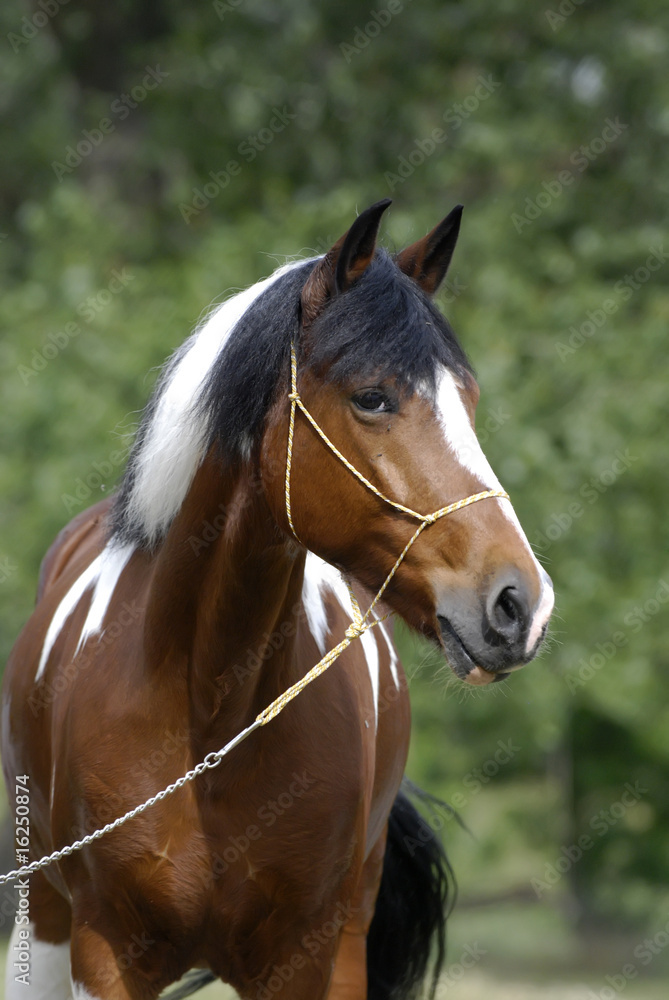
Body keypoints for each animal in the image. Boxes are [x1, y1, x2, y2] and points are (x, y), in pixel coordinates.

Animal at [1, 201, 552, 1000]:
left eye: (468, 403)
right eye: (372, 397)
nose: (519, 604)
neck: (206, 710)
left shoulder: (302, 959)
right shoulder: (102, 955)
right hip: (40, 919)